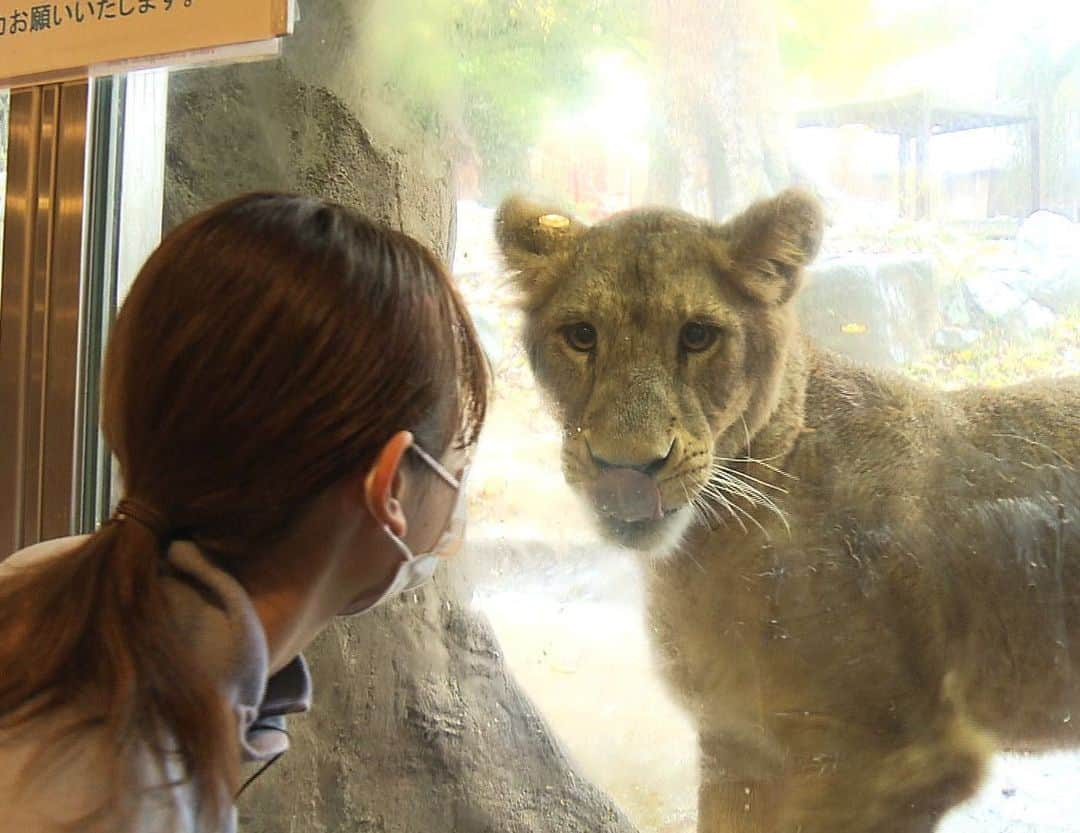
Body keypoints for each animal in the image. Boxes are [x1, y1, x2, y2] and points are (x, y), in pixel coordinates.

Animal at [494, 190, 1075, 833]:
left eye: (698, 336)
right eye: (581, 335)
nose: (626, 466)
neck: (706, 552)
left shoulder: (902, 759)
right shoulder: (737, 749)